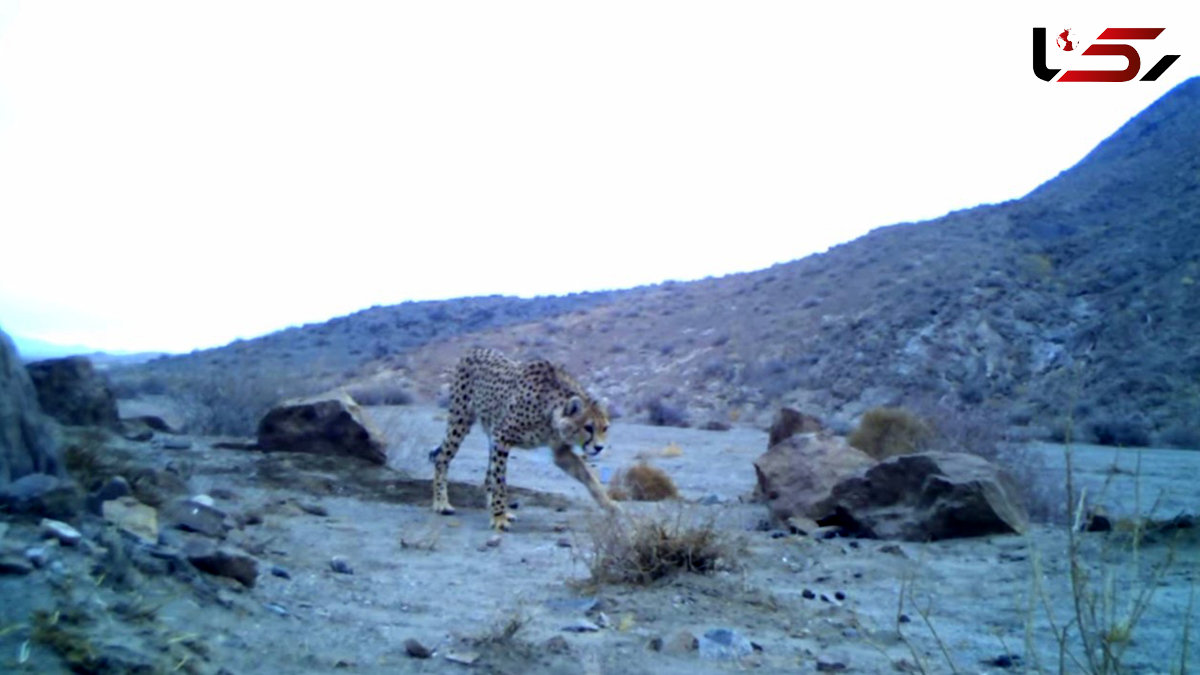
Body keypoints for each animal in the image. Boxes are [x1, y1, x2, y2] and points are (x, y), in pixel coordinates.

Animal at [432, 345, 619, 530]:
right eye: (588, 428)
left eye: (605, 428)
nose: (599, 447)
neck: (550, 415)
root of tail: (474, 349)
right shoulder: (502, 437)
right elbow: (500, 480)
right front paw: (499, 517)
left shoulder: (560, 451)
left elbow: (588, 476)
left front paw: (609, 505)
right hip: (460, 420)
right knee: (442, 458)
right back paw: (441, 503)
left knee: (487, 474)